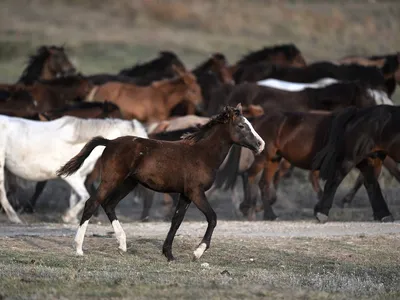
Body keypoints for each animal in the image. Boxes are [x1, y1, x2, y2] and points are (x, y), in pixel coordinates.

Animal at [0, 116, 147, 224]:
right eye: (139, 141)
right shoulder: (73, 178)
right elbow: (85, 196)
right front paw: (68, 216)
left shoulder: (78, 177)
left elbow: (75, 198)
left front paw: (71, 218)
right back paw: (14, 217)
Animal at [57, 104, 266, 262]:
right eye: (241, 126)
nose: (261, 144)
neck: (201, 154)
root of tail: (110, 142)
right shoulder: (196, 192)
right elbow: (212, 218)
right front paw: (197, 252)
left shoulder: (185, 194)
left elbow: (176, 221)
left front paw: (169, 254)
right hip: (111, 179)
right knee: (92, 203)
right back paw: (79, 248)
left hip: (128, 183)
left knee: (109, 204)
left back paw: (122, 245)